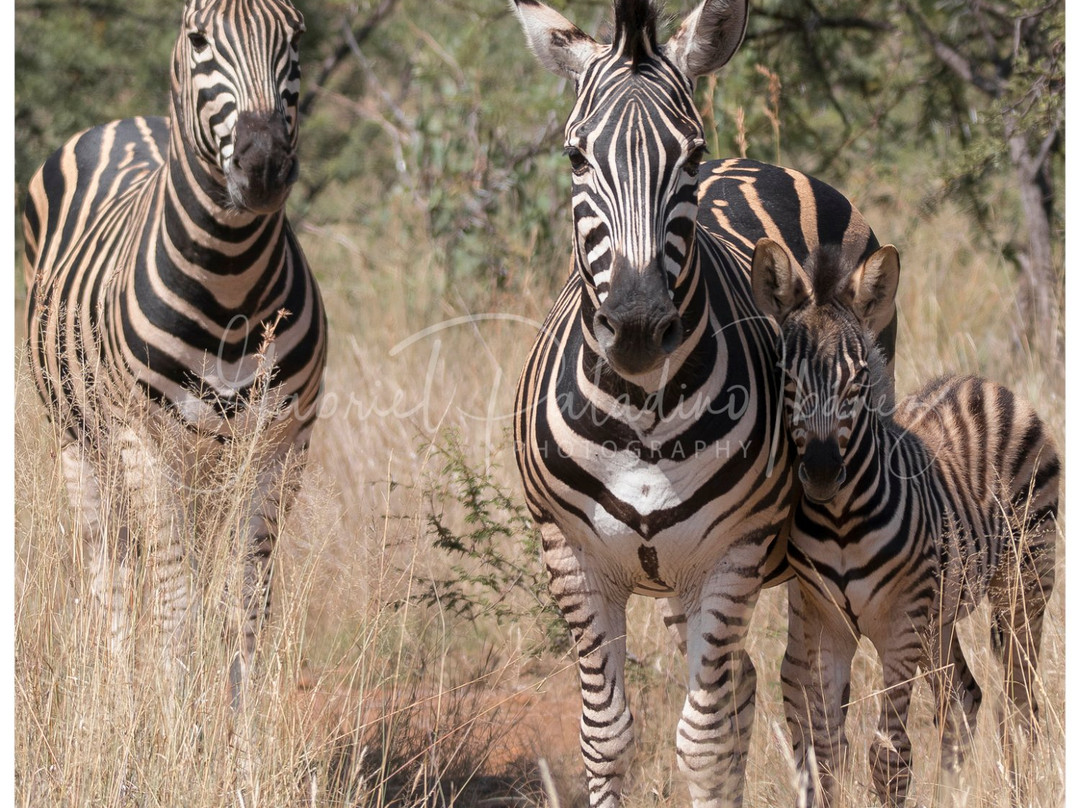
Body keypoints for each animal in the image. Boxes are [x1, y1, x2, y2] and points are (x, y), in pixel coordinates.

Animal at [22, 0, 324, 708]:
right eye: (199, 39)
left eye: (296, 38)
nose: (263, 166)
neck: (231, 285)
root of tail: (127, 121)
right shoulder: (145, 446)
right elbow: (174, 606)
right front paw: (174, 724)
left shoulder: (279, 449)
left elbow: (244, 607)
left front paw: (240, 735)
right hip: (81, 444)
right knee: (109, 575)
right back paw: (119, 698)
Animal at [509, 1, 898, 808]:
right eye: (575, 158)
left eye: (689, 155)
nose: (635, 327)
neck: (640, 412)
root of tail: (757, 163)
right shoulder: (570, 556)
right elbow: (607, 737)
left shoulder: (733, 553)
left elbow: (704, 742)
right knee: (752, 683)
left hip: (813, 539)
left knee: (808, 696)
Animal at [747, 239, 1058, 808]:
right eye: (788, 380)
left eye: (858, 381)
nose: (821, 472)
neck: (841, 522)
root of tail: (982, 381)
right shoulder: (828, 624)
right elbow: (826, 750)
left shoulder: (900, 627)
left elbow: (889, 756)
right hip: (940, 615)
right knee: (965, 698)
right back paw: (957, 794)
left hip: (1023, 580)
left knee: (1021, 699)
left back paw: (1019, 786)